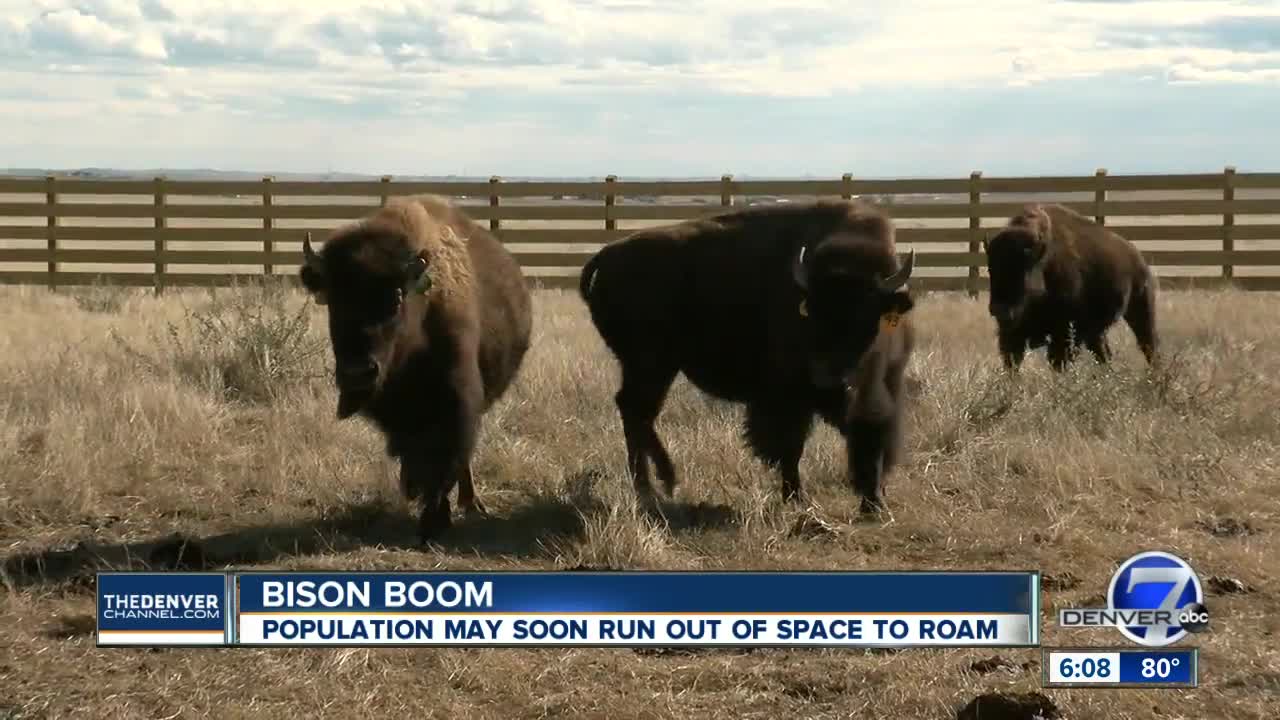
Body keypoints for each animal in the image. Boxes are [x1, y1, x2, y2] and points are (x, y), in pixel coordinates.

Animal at [298, 193, 529, 540]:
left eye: (395, 297)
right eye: (334, 301)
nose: (357, 373)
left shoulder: (456, 401)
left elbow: (445, 459)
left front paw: (433, 521)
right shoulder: (398, 415)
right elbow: (415, 453)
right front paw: (421, 501)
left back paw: (471, 504)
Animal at [576, 198, 916, 512]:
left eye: (867, 317)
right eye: (811, 313)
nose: (830, 378)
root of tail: (606, 256)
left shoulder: (882, 388)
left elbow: (873, 436)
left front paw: (874, 500)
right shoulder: (788, 396)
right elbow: (790, 446)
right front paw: (795, 498)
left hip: (651, 367)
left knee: (636, 411)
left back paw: (654, 488)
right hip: (650, 364)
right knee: (636, 410)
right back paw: (659, 485)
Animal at [983, 202, 1157, 368]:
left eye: (1025, 269)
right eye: (990, 269)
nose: (1001, 310)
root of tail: (1138, 258)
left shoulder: (1064, 332)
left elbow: (1059, 362)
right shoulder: (1012, 335)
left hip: (1140, 309)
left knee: (1148, 345)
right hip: (1098, 330)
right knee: (1104, 353)